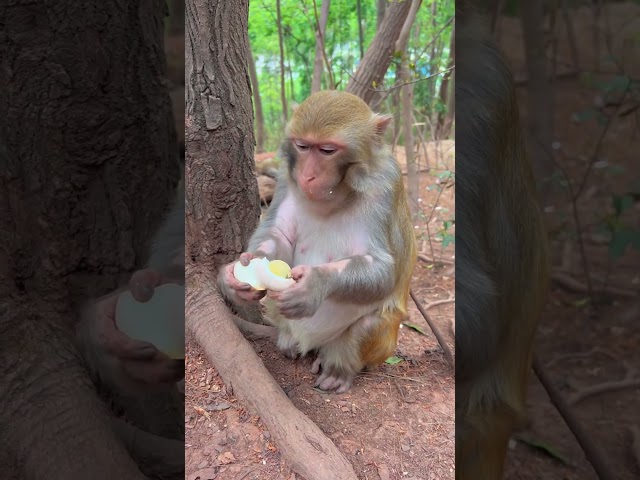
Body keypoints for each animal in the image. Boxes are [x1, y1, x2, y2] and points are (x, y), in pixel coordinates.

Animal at [218, 90, 417, 393]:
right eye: (303, 146)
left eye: (327, 150)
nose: (307, 175)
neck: (337, 195)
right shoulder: (286, 177)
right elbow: (279, 234)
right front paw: (238, 273)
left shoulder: (386, 185)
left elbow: (383, 268)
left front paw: (314, 286)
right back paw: (288, 340)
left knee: (369, 324)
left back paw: (337, 369)